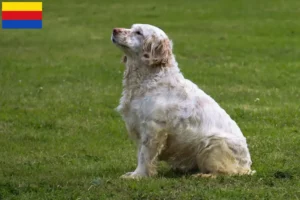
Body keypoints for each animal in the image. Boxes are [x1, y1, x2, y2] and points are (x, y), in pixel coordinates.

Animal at [111, 23, 254, 180]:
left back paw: (202, 175)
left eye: (138, 32)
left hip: (212, 142)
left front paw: (139, 175)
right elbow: (140, 153)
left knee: (225, 172)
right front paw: (135, 173)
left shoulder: (153, 127)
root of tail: (247, 165)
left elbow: (144, 155)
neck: (148, 78)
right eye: (132, 28)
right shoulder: (137, 124)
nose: (114, 30)